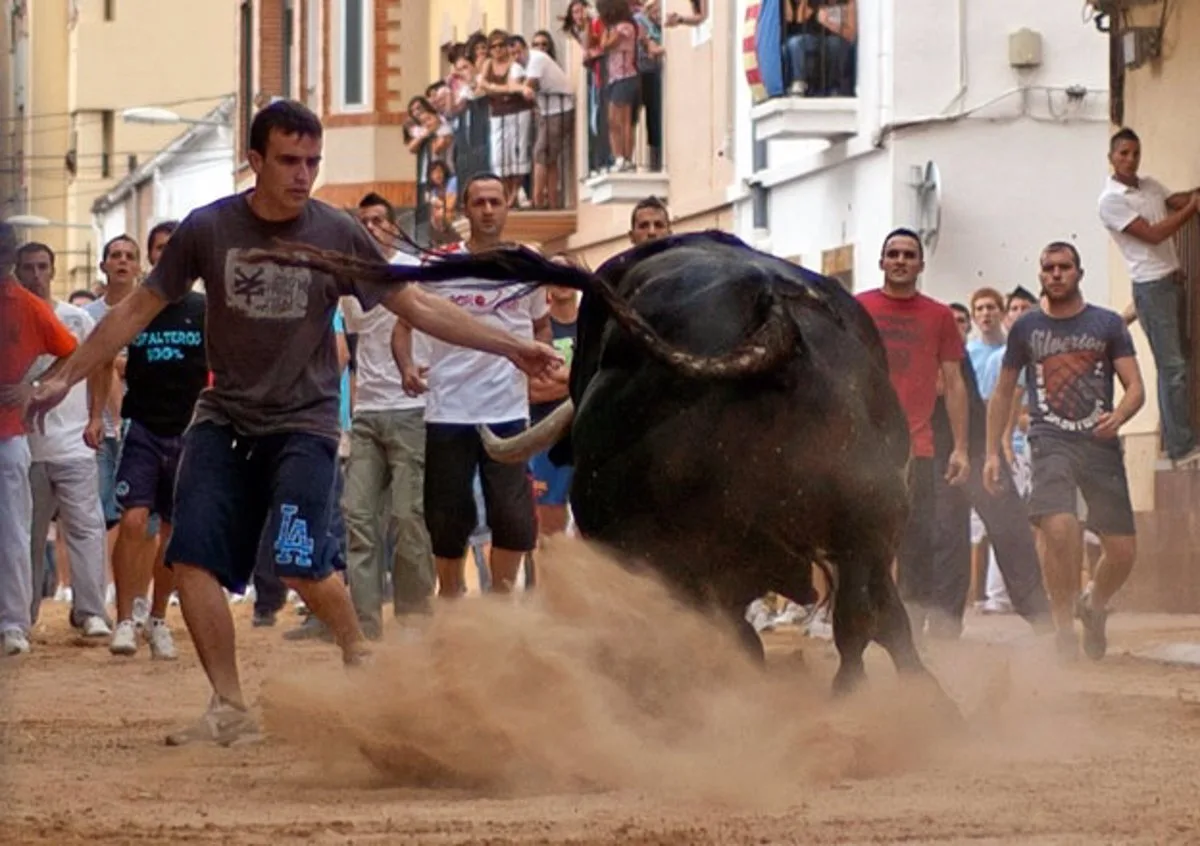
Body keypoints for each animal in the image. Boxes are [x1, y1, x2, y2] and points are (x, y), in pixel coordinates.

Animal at [246, 230, 955, 705]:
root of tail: (778, 336)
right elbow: (876, 618)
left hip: (682, 547)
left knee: (810, 624)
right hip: (868, 519)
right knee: (864, 616)